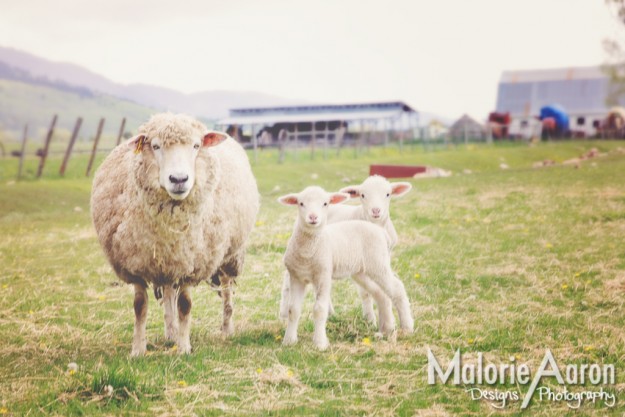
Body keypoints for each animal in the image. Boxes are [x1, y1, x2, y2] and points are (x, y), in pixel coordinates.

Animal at [90, 113, 258, 354]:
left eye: (196, 145)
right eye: (155, 145)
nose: (179, 179)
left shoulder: (192, 263)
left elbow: (185, 305)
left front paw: (184, 348)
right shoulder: (135, 264)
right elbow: (139, 306)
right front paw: (138, 350)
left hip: (230, 255)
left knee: (226, 291)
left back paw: (226, 329)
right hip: (168, 262)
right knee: (169, 292)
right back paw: (170, 334)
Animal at [276, 185, 410, 348]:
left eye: (325, 203)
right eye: (301, 203)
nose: (313, 217)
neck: (308, 252)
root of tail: (381, 231)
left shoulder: (323, 274)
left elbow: (319, 310)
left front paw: (320, 343)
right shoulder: (296, 277)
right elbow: (293, 310)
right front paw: (289, 341)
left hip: (378, 262)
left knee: (397, 288)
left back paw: (407, 327)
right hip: (361, 271)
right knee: (380, 293)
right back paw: (386, 329)